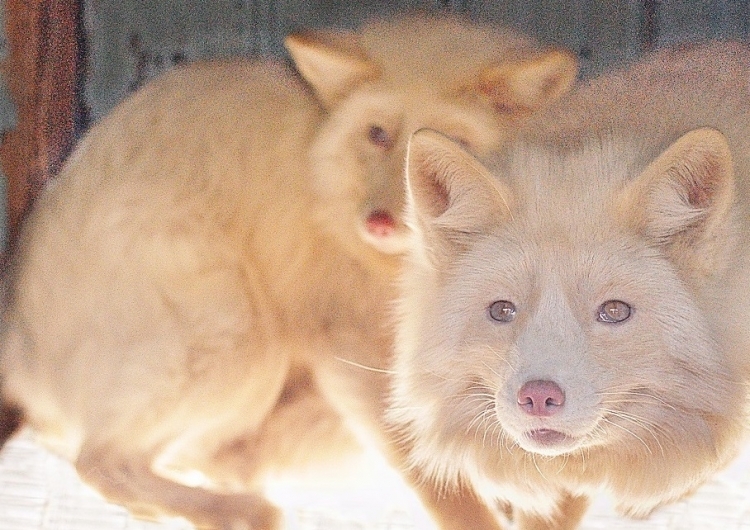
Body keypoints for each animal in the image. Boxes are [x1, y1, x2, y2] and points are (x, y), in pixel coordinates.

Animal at [0, 11, 580, 528]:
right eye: (377, 134)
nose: (379, 223)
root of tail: (18, 338)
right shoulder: (349, 345)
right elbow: (446, 486)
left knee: (191, 461)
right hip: (245, 341)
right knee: (99, 462)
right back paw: (238, 512)